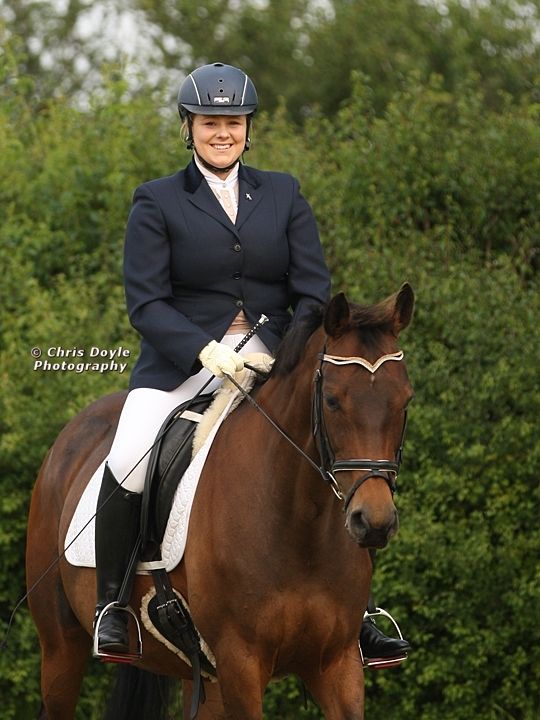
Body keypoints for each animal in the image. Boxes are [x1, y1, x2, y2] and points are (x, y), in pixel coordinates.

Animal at [26, 283, 414, 720]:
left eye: (405, 401)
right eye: (332, 400)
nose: (374, 521)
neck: (297, 527)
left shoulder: (338, 662)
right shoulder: (240, 662)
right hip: (60, 648)